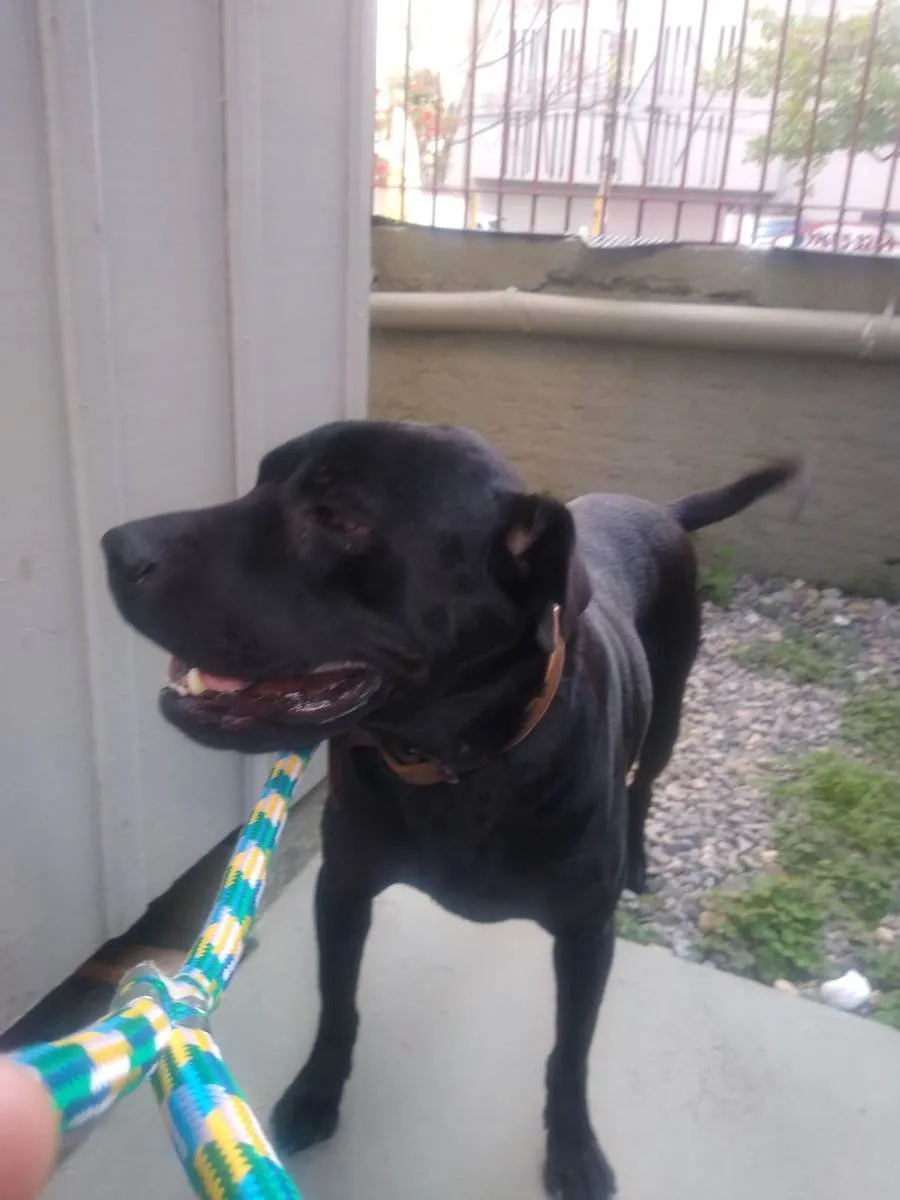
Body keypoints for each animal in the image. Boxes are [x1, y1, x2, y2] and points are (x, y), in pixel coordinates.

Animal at [101, 420, 800, 1199]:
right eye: (259, 481)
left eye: (338, 516)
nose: (115, 548)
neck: (457, 762)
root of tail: (659, 509)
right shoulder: (342, 887)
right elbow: (337, 1003)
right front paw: (318, 1091)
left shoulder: (586, 936)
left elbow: (570, 1053)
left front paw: (573, 1148)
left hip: (671, 707)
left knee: (645, 780)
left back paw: (640, 860)